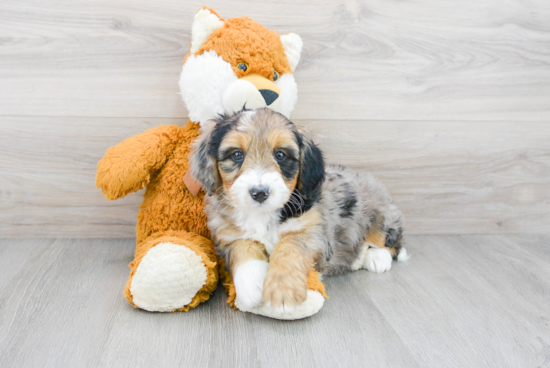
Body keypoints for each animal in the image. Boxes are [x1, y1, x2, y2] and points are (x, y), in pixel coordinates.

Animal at [191, 108, 410, 312]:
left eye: (280, 155)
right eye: (237, 155)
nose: (259, 193)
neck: (263, 214)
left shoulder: (314, 233)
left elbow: (290, 248)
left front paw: (283, 291)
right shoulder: (229, 235)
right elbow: (244, 249)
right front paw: (251, 287)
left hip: (380, 215)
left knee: (391, 244)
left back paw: (376, 259)